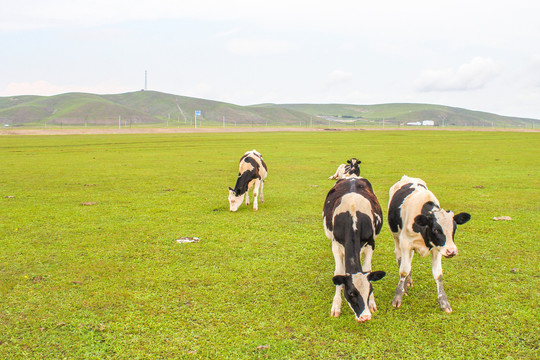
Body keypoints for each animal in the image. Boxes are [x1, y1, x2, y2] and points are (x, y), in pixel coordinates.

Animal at [322, 177, 386, 324]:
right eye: (351, 293)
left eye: (370, 290)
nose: (365, 317)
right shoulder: (335, 245)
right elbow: (338, 272)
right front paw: (336, 305)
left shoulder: (371, 243)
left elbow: (368, 269)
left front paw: (372, 303)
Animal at [388, 175, 468, 312]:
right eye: (436, 230)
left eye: (455, 228)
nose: (451, 251)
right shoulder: (405, 244)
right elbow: (403, 270)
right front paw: (398, 296)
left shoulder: (437, 248)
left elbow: (438, 274)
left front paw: (444, 302)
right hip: (396, 238)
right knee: (399, 258)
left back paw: (408, 281)